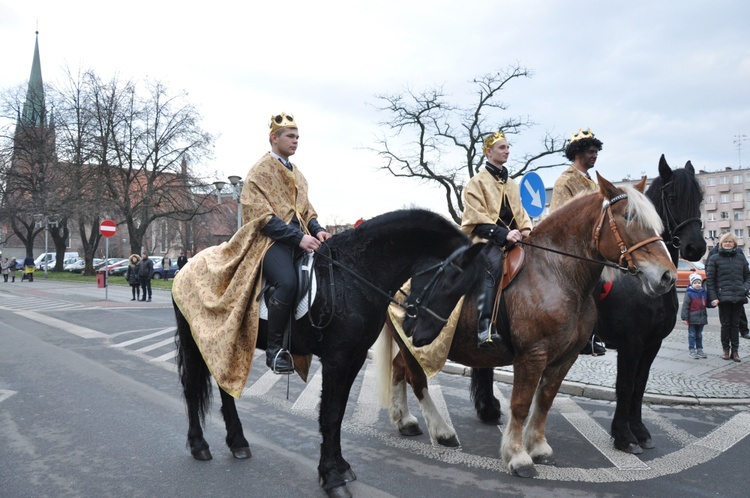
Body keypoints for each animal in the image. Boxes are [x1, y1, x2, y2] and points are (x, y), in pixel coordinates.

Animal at [173, 209, 484, 498]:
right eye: (449, 280)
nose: (418, 335)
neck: (355, 273)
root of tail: (186, 267)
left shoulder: (354, 358)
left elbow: (339, 413)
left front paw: (340, 466)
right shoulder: (337, 358)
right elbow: (330, 414)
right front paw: (331, 477)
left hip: (228, 341)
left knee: (224, 386)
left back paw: (238, 442)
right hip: (195, 339)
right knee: (191, 387)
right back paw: (199, 445)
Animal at [378, 173, 680, 476]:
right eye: (628, 216)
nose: (666, 276)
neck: (557, 273)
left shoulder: (566, 356)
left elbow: (545, 400)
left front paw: (538, 447)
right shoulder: (532, 354)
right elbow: (521, 404)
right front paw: (517, 455)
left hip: (412, 344)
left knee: (399, 369)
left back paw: (405, 421)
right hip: (415, 342)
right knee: (417, 380)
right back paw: (442, 431)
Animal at [472, 157, 708, 456]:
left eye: (700, 199)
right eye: (673, 197)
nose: (696, 248)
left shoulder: (651, 345)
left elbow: (640, 386)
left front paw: (640, 431)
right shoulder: (632, 344)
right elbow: (626, 386)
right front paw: (625, 436)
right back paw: (488, 409)